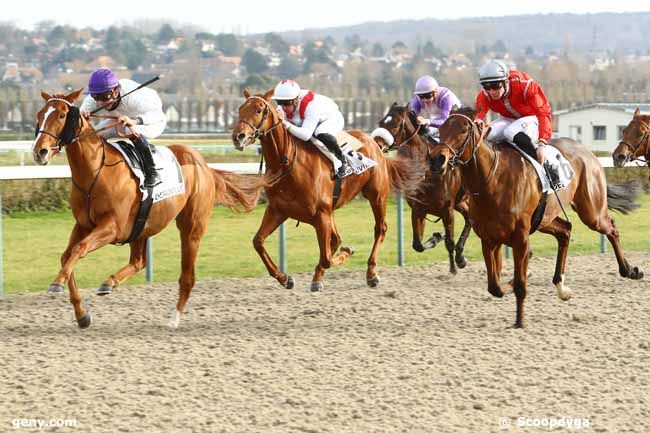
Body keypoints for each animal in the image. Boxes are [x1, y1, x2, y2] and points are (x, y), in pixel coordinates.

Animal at [31, 89, 258, 330]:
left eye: (62, 115)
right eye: (40, 114)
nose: (39, 151)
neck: (95, 173)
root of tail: (205, 165)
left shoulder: (112, 227)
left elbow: (79, 249)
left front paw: (57, 283)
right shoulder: (84, 225)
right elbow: (67, 255)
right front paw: (82, 314)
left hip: (191, 227)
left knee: (187, 275)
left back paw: (174, 317)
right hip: (142, 225)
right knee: (138, 261)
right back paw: (109, 283)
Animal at [230, 88, 422, 290]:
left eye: (259, 110)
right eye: (240, 109)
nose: (238, 137)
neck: (288, 162)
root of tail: (374, 142)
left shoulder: (321, 214)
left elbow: (327, 258)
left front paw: (346, 253)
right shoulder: (278, 210)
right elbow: (258, 242)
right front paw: (285, 278)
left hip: (376, 195)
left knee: (380, 229)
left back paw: (371, 273)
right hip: (332, 210)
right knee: (336, 239)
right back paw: (319, 277)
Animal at [374, 102, 470, 272]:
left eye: (396, 125)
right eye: (381, 122)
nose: (376, 144)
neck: (428, 173)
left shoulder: (447, 210)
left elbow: (449, 242)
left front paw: (453, 268)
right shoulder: (418, 209)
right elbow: (417, 245)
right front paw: (436, 237)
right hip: (461, 203)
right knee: (469, 220)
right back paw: (460, 256)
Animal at [428, 108, 640, 328]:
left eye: (463, 130)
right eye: (441, 130)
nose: (436, 159)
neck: (492, 180)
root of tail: (588, 153)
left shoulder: (520, 237)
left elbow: (519, 284)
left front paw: (519, 321)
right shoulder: (489, 238)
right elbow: (495, 286)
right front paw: (511, 283)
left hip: (591, 212)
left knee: (611, 228)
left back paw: (630, 270)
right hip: (545, 219)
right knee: (565, 230)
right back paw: (561, 286)